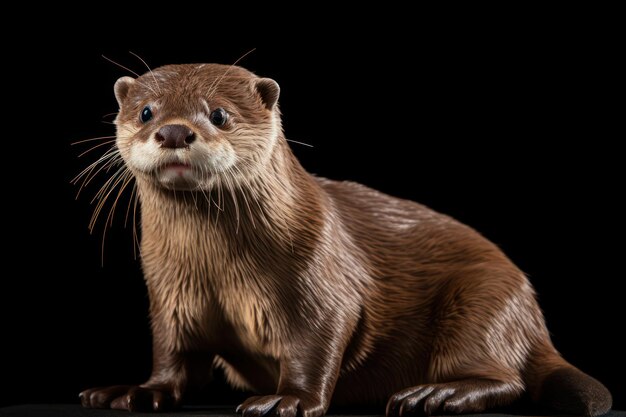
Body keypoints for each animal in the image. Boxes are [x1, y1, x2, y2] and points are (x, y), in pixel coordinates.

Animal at [78, 63, 608, 414]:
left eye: (220, 114)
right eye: (146, 112)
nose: (173, 131)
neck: (218, 270)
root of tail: (533, 320)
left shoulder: (322, 284)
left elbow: (315, 345)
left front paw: (288, 399)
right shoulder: (171, 297)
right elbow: (173, 358)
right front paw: (134, 390)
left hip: (485, 300)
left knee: (506, 377)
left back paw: (439, 393)